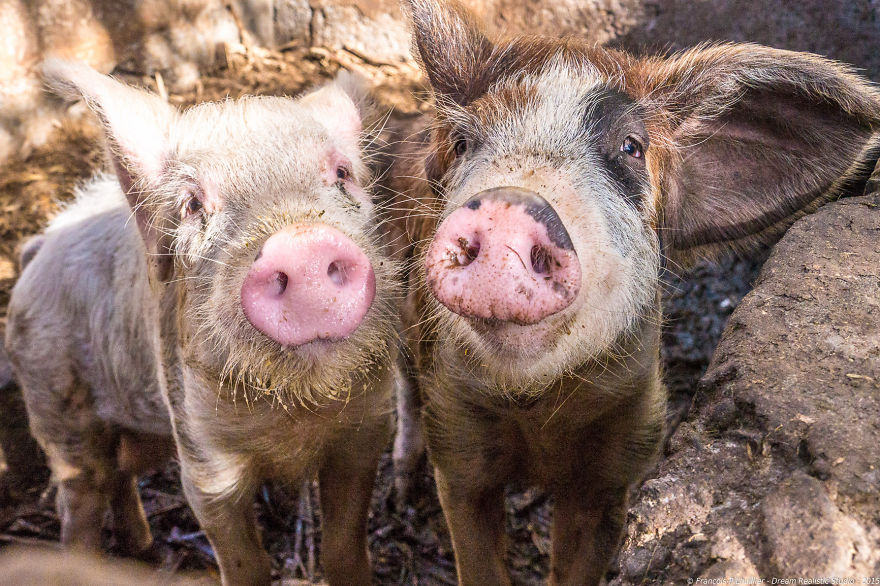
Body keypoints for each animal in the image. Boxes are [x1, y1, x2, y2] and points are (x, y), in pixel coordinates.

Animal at [4, 61, 401, 586]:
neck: (292, 415)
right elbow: (245, 562)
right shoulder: (202, 459)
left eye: (341, 174)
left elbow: (346, 551)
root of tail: (37, 250)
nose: (302, 244)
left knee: (120, 476)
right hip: (56, 404)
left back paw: (144, 551)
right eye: (193, 205)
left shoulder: (367, 431)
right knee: (81, 502)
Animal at [384, 1, 880, 584]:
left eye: (631, 147)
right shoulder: (456, 433)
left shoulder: (622, 451)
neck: (536, 408)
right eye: (463, 143)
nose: (507, 205)